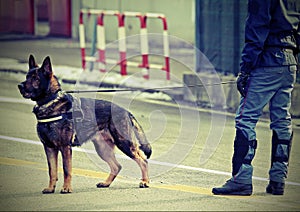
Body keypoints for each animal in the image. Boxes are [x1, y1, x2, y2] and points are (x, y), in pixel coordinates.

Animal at [17, 54, 151, 194]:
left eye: (35, 78)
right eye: (27, 76)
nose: (19, 86)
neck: (50, 101)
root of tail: (126, 111)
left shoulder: (65, 147)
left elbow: (66, 170)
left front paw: (66, 188)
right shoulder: (49, 148)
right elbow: (52, 171)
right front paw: (50, 188)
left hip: (124, 143)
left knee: (143, 161)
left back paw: (145, 182)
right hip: (103, 149)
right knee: (117, 166)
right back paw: (106, 183)